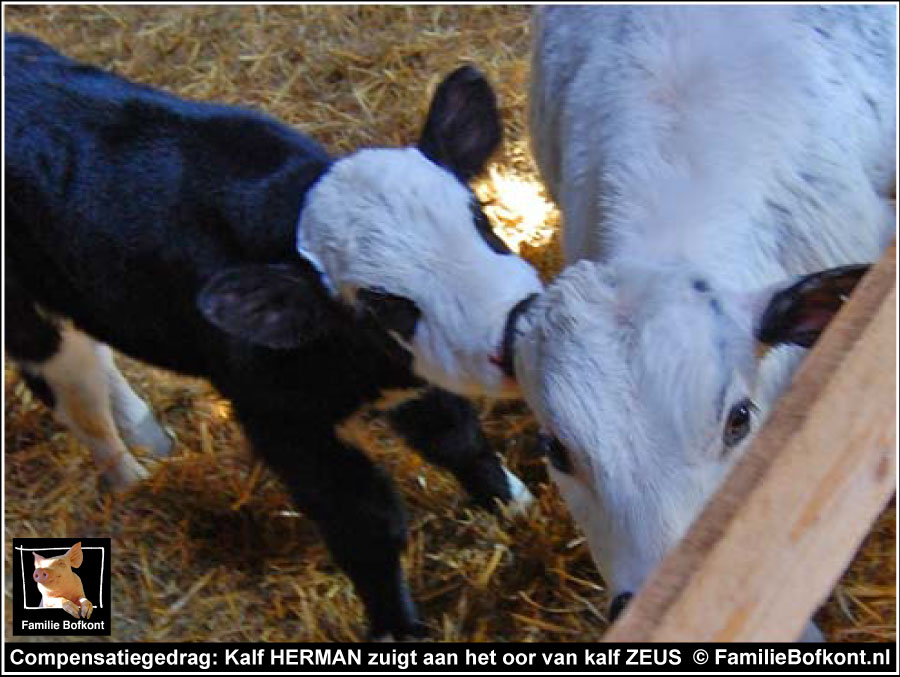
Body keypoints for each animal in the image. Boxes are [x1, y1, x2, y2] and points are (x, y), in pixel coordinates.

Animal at [5, 34, 540, 636]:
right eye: (385, 304)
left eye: (480, 219)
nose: (515, 326)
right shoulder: (280, 421)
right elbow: (366, 524)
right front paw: (397, 628)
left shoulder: (417, 381)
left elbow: (460, 441)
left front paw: (515, 503)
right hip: (27, 318)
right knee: (77, 400)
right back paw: (129, 477)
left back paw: (152, 440)